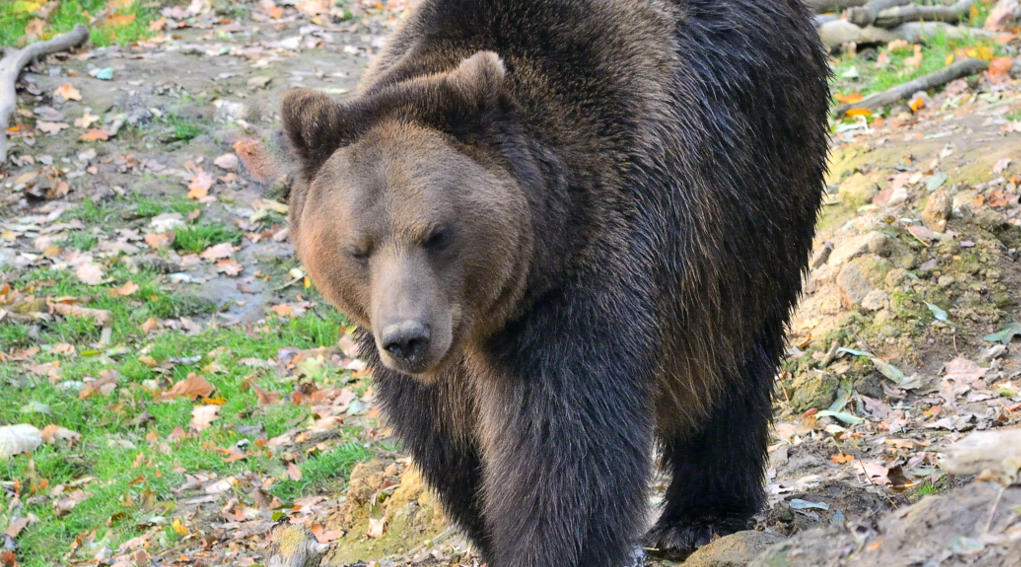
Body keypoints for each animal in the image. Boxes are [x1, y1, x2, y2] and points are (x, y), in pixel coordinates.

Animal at [281, 0, 829, 563]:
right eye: (357, 249)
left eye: (437, 234)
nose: (408, 338)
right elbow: (452, 443)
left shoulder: (584, 278)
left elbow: (562, 445)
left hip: (750, 191)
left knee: (730, 357)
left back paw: (700, 515)